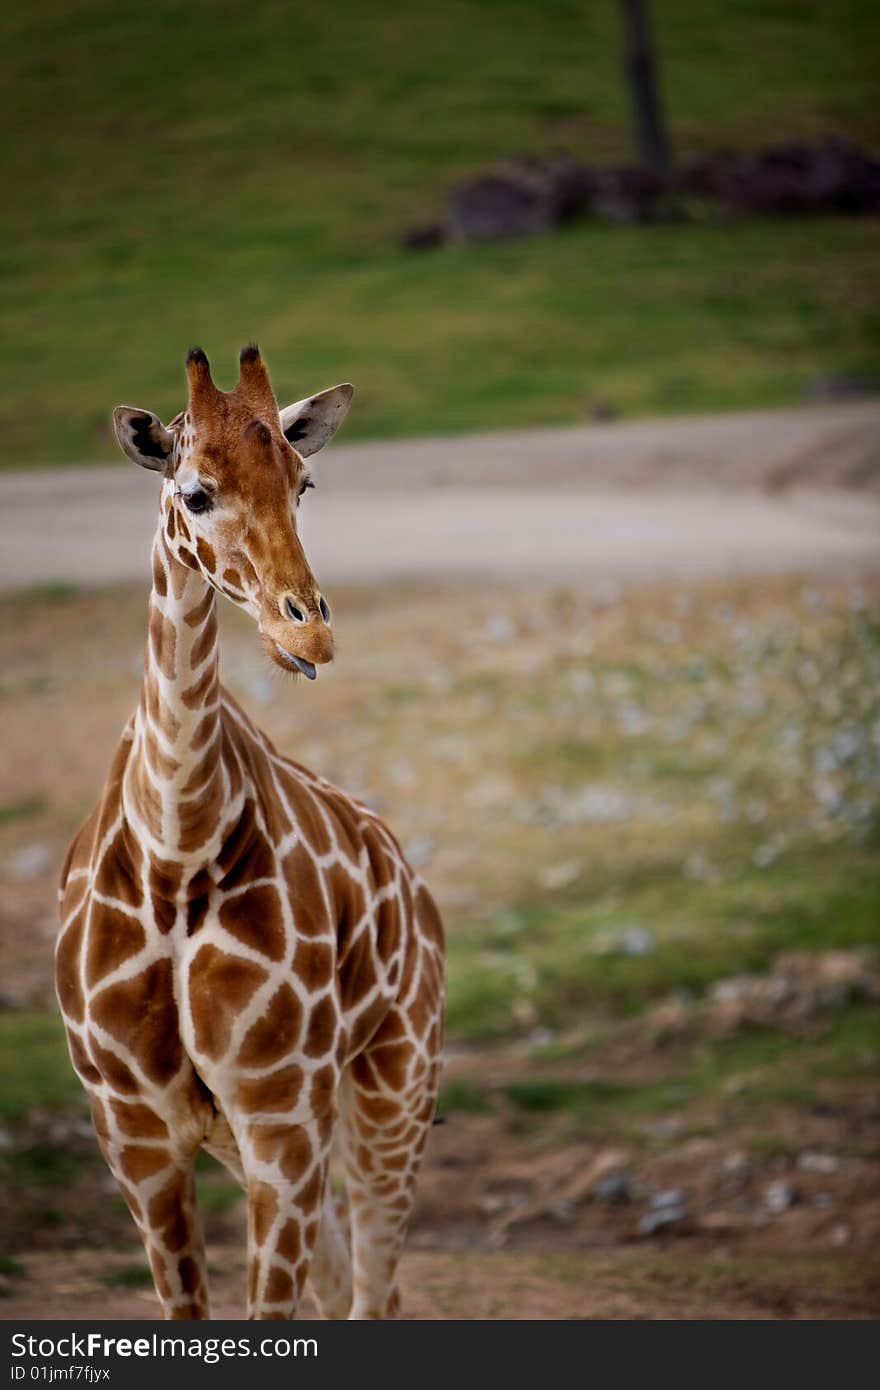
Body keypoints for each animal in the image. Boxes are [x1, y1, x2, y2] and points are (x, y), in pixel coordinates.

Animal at [51, 341, 442, 1317]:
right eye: (195, 492)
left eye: (305, 483)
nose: (308, 635)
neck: (175, 853)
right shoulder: (137, 1137)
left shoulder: (281, 1119)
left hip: (393, 1090)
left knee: (376, 1290)